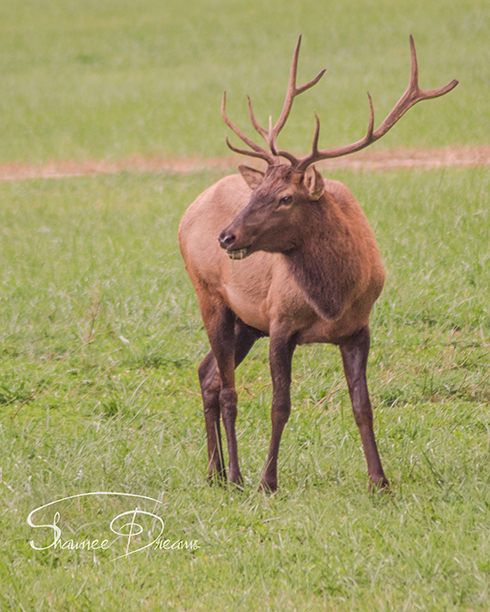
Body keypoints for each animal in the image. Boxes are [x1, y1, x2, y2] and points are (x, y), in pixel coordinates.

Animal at [180, 34, 460, 492]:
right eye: (256, 194)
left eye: (285, 197)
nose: (226, 236)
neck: (331, 298)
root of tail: (188, 211)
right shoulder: (279, 323)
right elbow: (280, 405)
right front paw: (268, 481)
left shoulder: (358, 329)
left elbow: (363, 405)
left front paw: (379, 480)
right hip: (211, 297)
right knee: (227, 388)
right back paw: (234, 475)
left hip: (246, 322)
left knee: (208, 374)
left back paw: (215, 472)